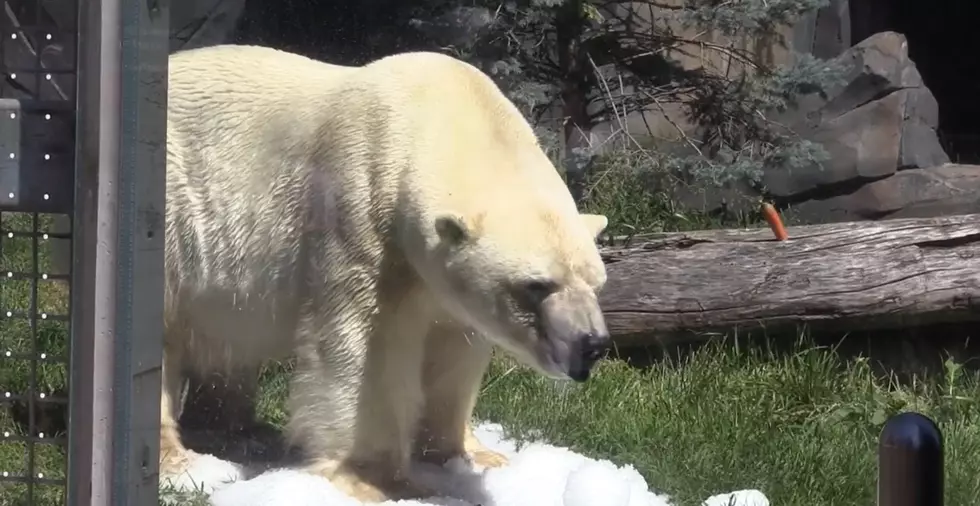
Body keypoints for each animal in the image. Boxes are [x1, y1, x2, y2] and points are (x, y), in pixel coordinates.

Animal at [164, 44, 608, 502]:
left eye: (598, 283)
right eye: (537, 285)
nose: (591, 344)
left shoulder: (440, 287)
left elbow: (454, 354)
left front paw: (471, 455)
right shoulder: (360, 216)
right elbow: (369, 349)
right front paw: (379, 480)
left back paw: (239, 431)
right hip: (174, 209)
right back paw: (182, 457)